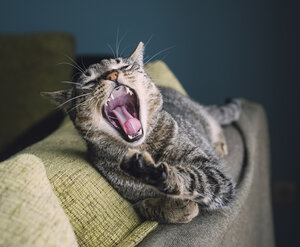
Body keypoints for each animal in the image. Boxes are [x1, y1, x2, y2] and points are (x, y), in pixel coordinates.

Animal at [42, 42, 243, 224]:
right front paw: (172, 207)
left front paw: (156, 173)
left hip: (203, 119)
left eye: (123, 66)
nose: (112, 74)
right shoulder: (133, 199)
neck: (145, 147)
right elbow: (145, 206)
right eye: (89, 82)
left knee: (213, 122)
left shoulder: (215, 175)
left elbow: (192, 177)